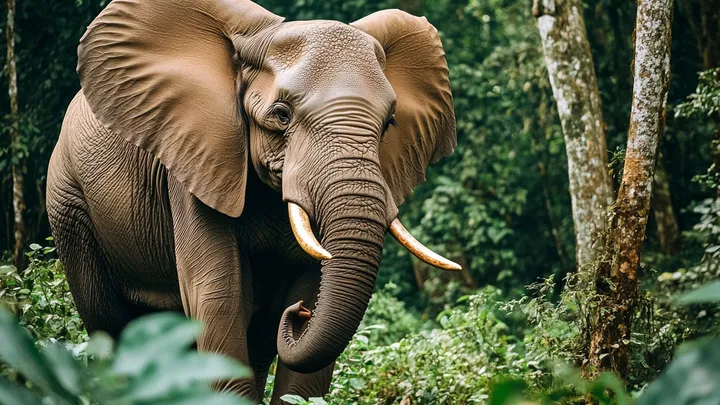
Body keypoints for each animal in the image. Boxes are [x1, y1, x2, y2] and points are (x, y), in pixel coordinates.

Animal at [46, 0, 459, 402]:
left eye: (390, 123)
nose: (299, 315)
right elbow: (218, 298)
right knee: (109, 328)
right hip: (68, 203)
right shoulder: (196, 160)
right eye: (281, 115)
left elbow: (308, 293)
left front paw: (304, 302)